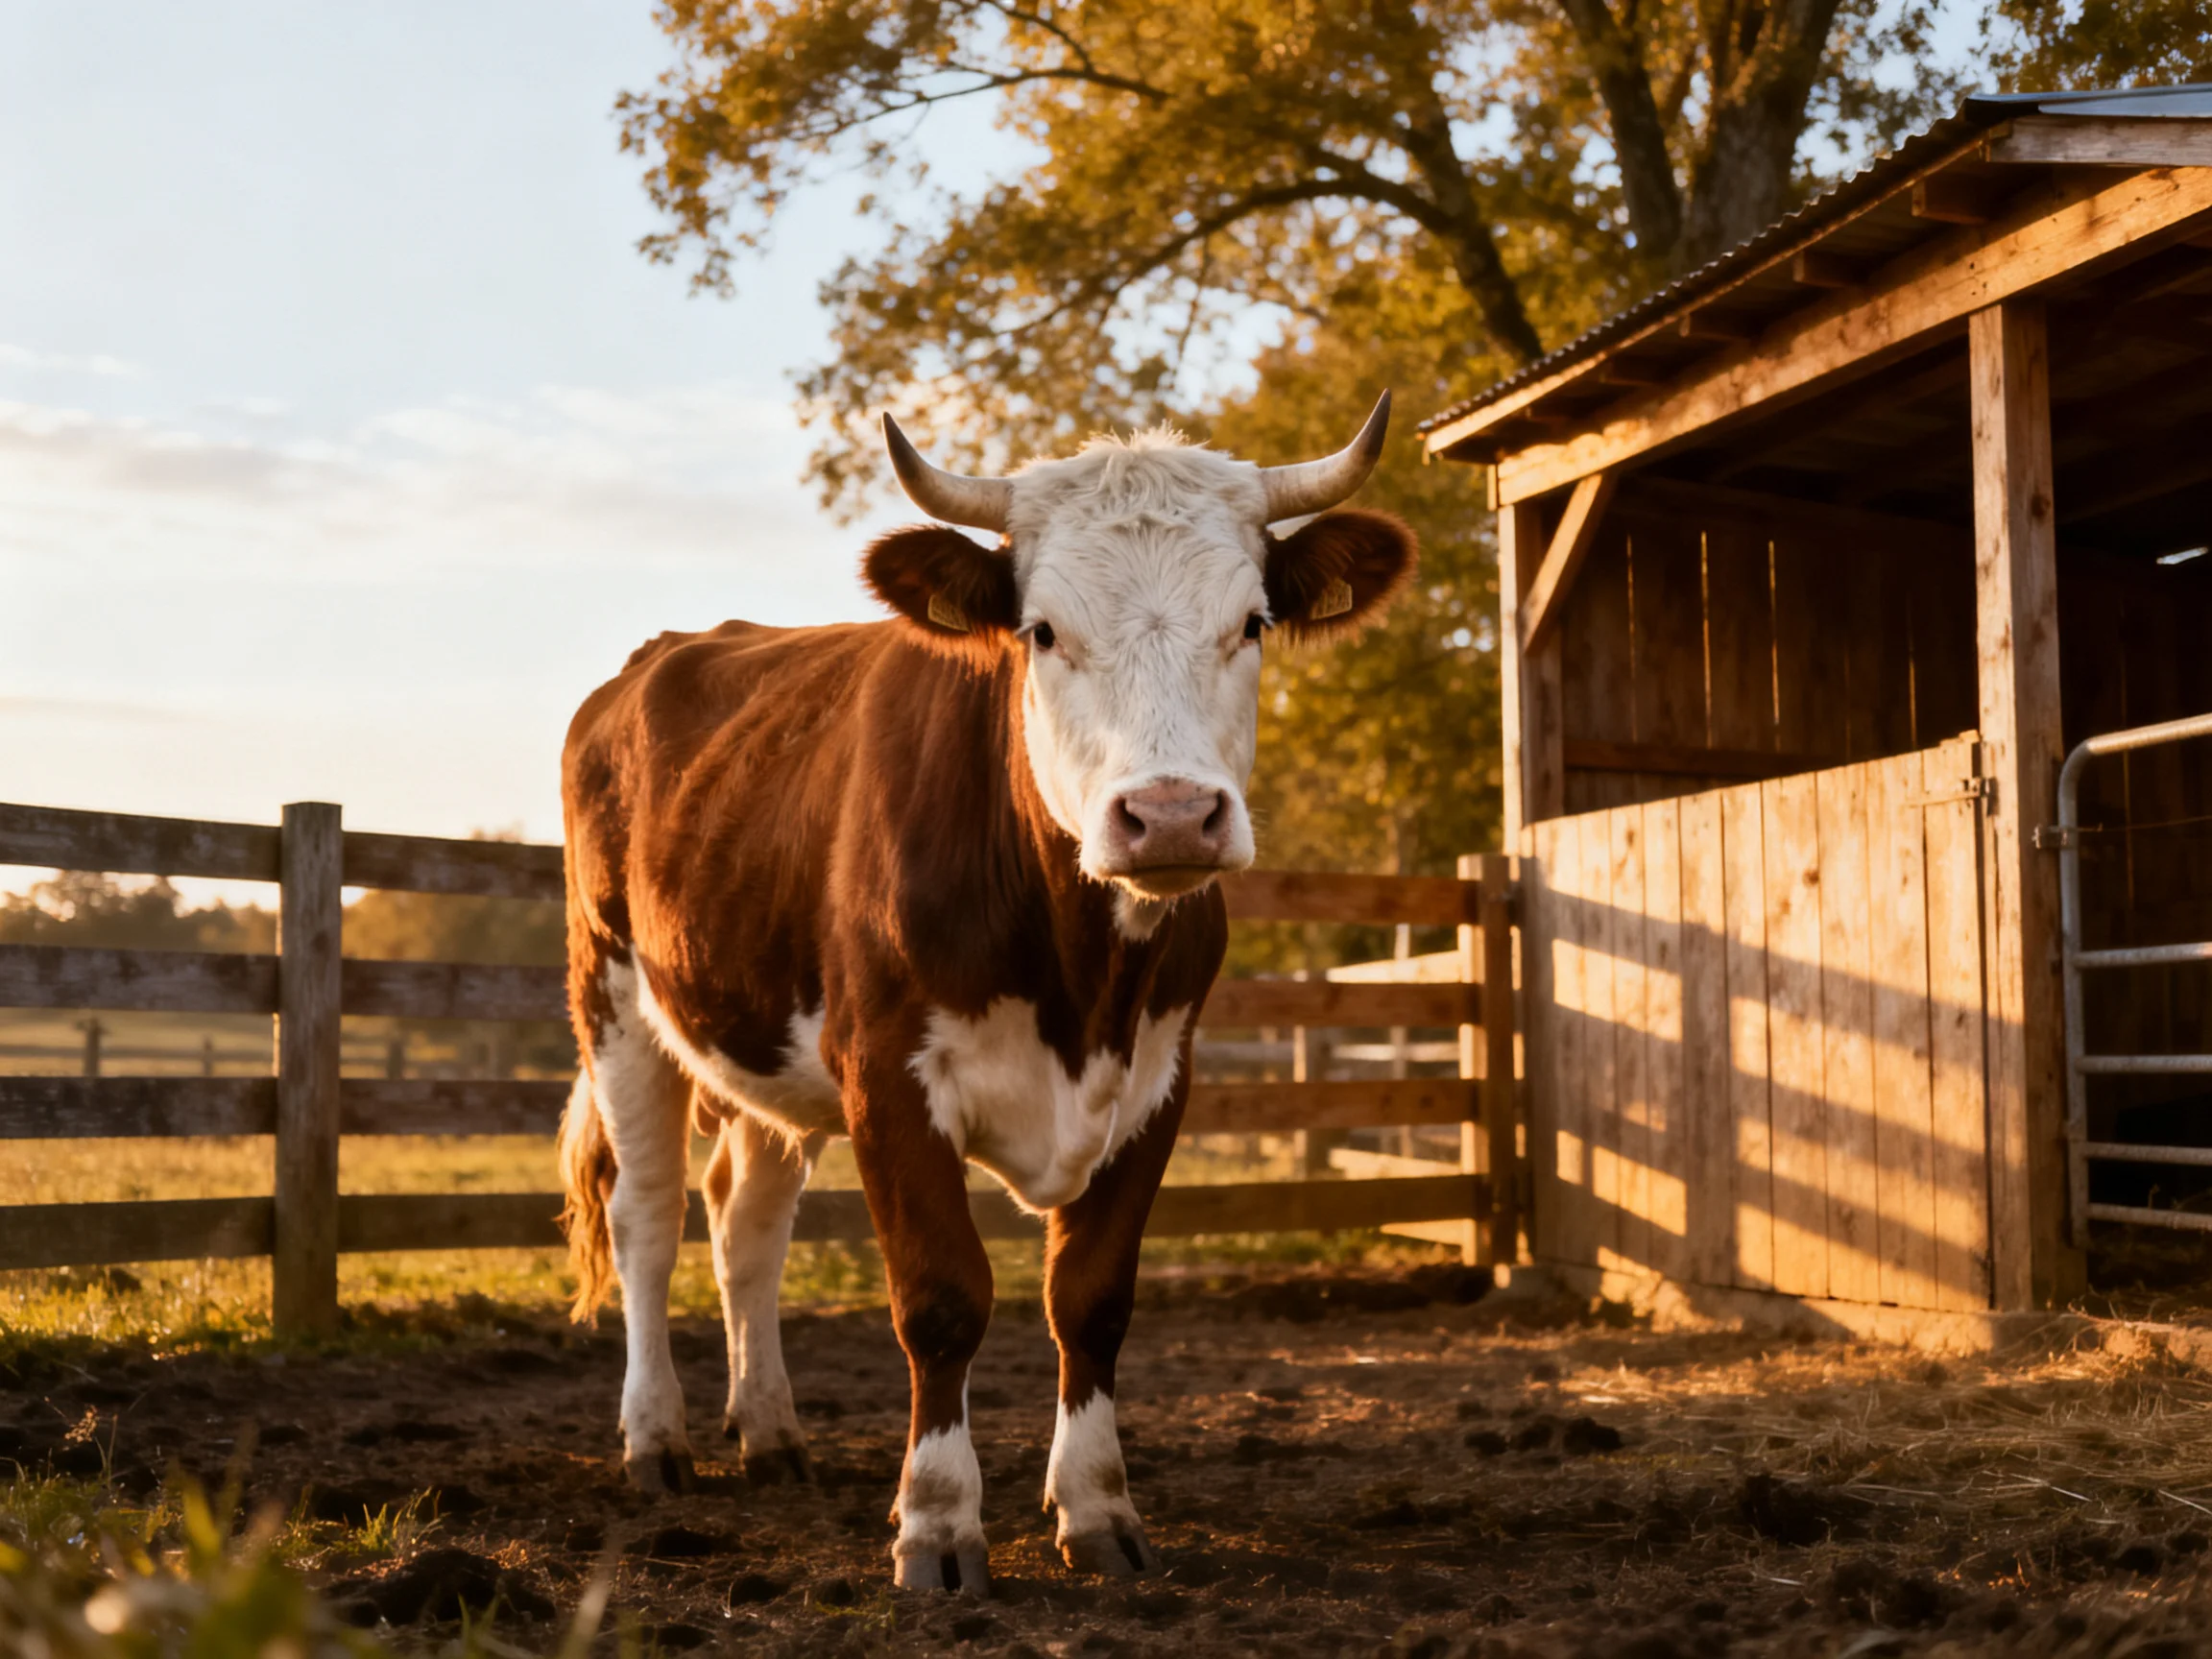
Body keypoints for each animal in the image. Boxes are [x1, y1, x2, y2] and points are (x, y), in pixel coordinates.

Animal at [555, 395, 1416, 1594]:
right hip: (617, 997)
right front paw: (937, 1526)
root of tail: (655, 662)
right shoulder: (887, 1075)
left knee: (747, 1223)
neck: (1081, 979)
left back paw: (771, 1434)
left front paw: (1097, 1510)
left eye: (1251, 623)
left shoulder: (1160, 1079)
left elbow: (1090, 1300)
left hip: (763, 1046)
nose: (1171, 815)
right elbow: (941, 1299)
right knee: (647, 1215)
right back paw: (656, 1441)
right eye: (1042, 631)